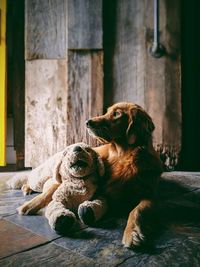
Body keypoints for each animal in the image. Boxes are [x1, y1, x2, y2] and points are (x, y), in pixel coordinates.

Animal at [15, 102, 162, 249]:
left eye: (116, 114)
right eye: (107, 111)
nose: (87, 122)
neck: (123, 156)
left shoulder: (150, 196)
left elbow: (137, 210)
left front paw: (132, 233)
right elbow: (48, 194)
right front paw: (28, 206)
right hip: (43, 176)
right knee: (36, 181)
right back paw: (26, 189)